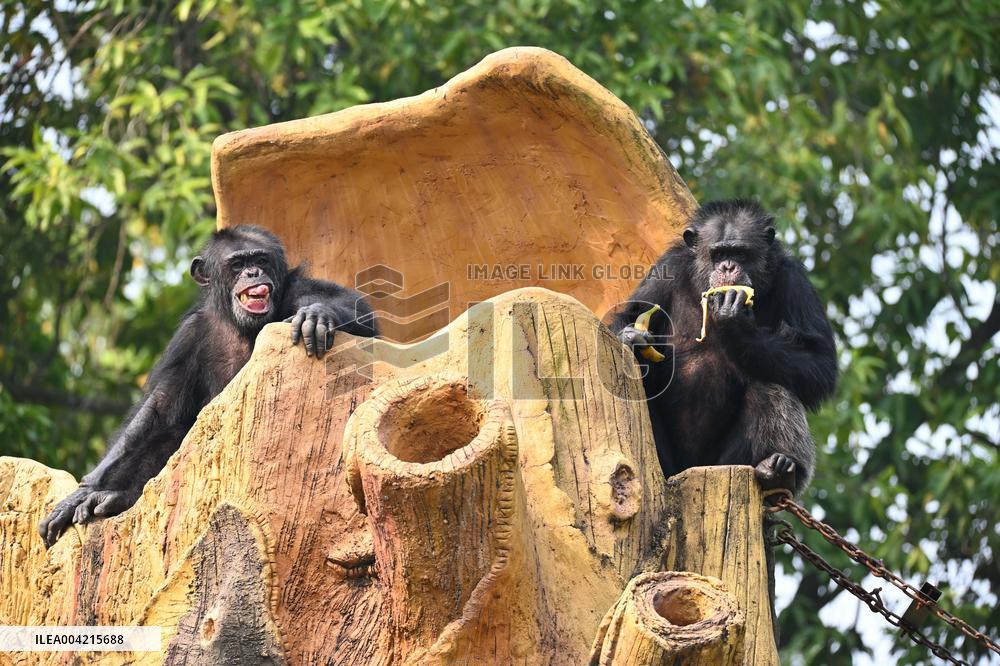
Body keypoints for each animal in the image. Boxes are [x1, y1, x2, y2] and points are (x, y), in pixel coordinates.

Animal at [38, 225, 377, 547]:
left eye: (260, 260)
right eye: (237, 264)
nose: (253, 273)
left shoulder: (298, 288)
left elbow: (355, 308)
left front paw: (317, 313)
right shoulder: (189, 336)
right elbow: (158, 408)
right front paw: (84, 490)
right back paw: (112, 498)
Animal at [613, 199, 837, 494]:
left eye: (740, 253)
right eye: (718, 253)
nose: (728, 267)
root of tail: (691, 469)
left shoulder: (795, 281)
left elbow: (819, 360)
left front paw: (735, 323)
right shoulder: (666, 268)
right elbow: (630, 313)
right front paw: (631, 337)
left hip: (729, 461)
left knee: (771, 384)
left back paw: (780, 468)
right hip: (668, 465)